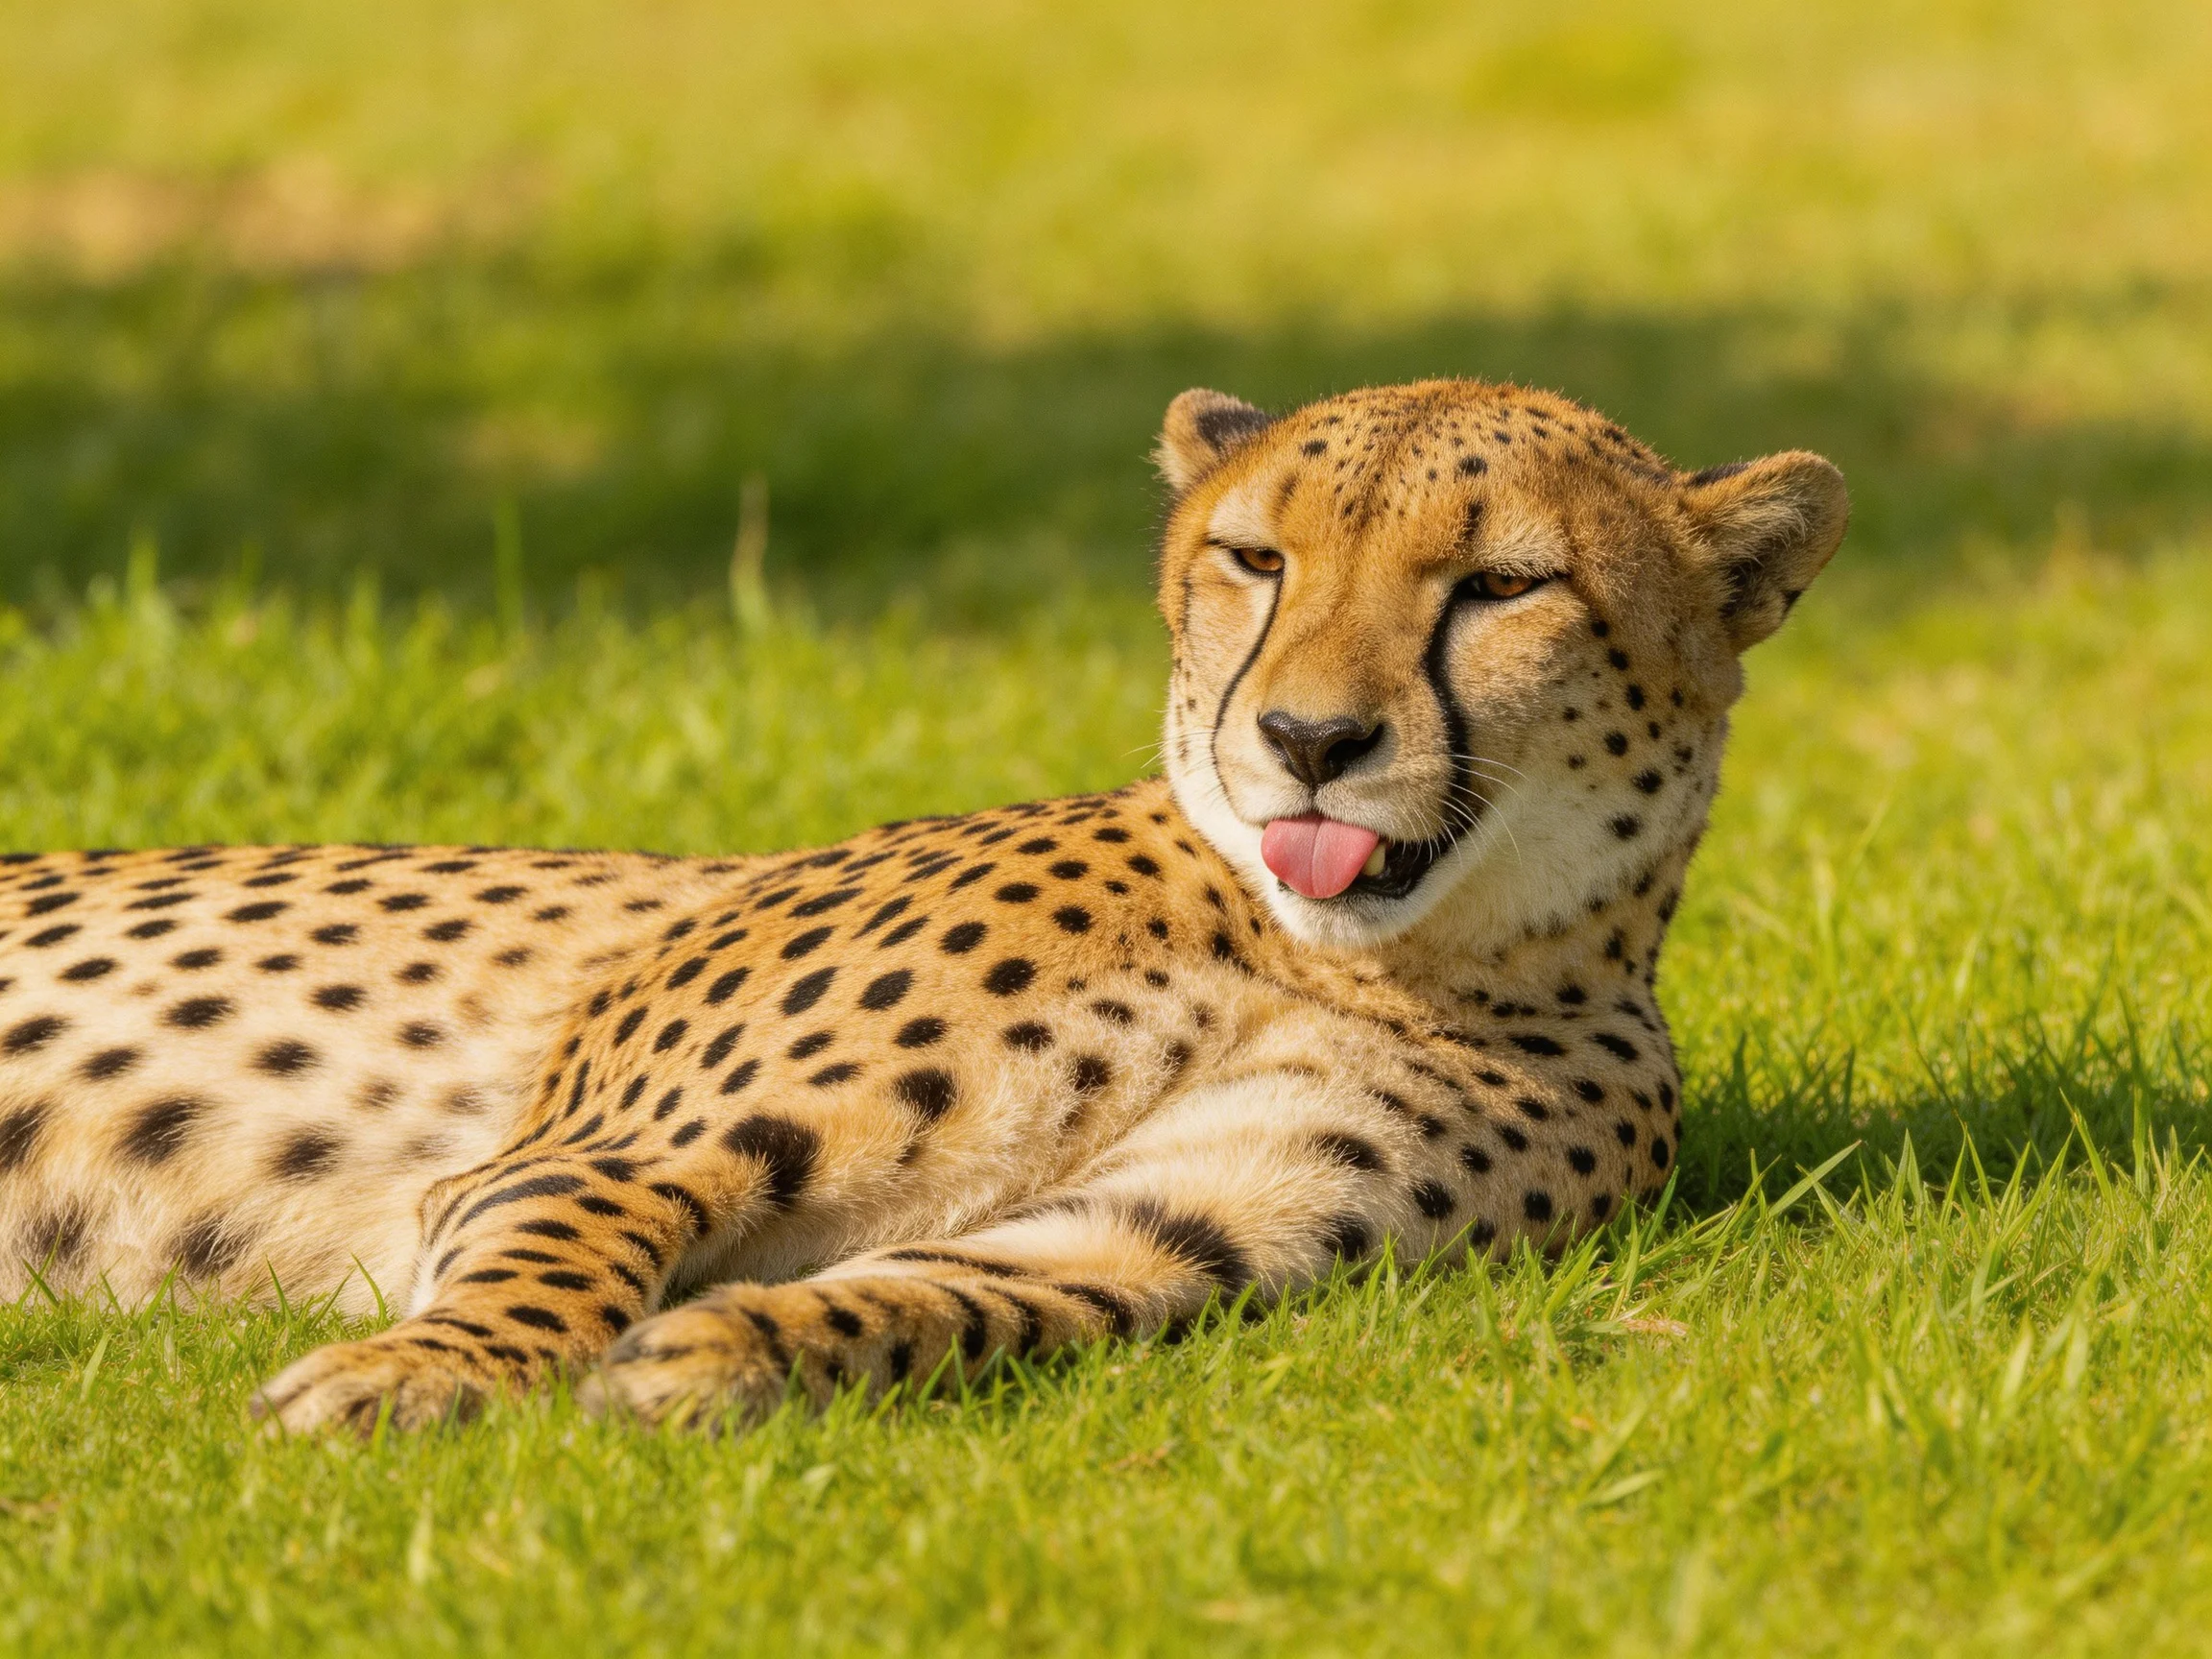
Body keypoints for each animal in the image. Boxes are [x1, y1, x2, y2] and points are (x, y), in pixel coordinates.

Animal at [0, 378, 1847, 1433]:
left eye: (1504, 585)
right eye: (1255, 559)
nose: (1312, 743)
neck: (1330, 955)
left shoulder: (1189, 1227)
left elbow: (976, 1295)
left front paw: (735, 1354)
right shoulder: (604, 1149)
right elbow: (563, 1250)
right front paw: (422, 1377)